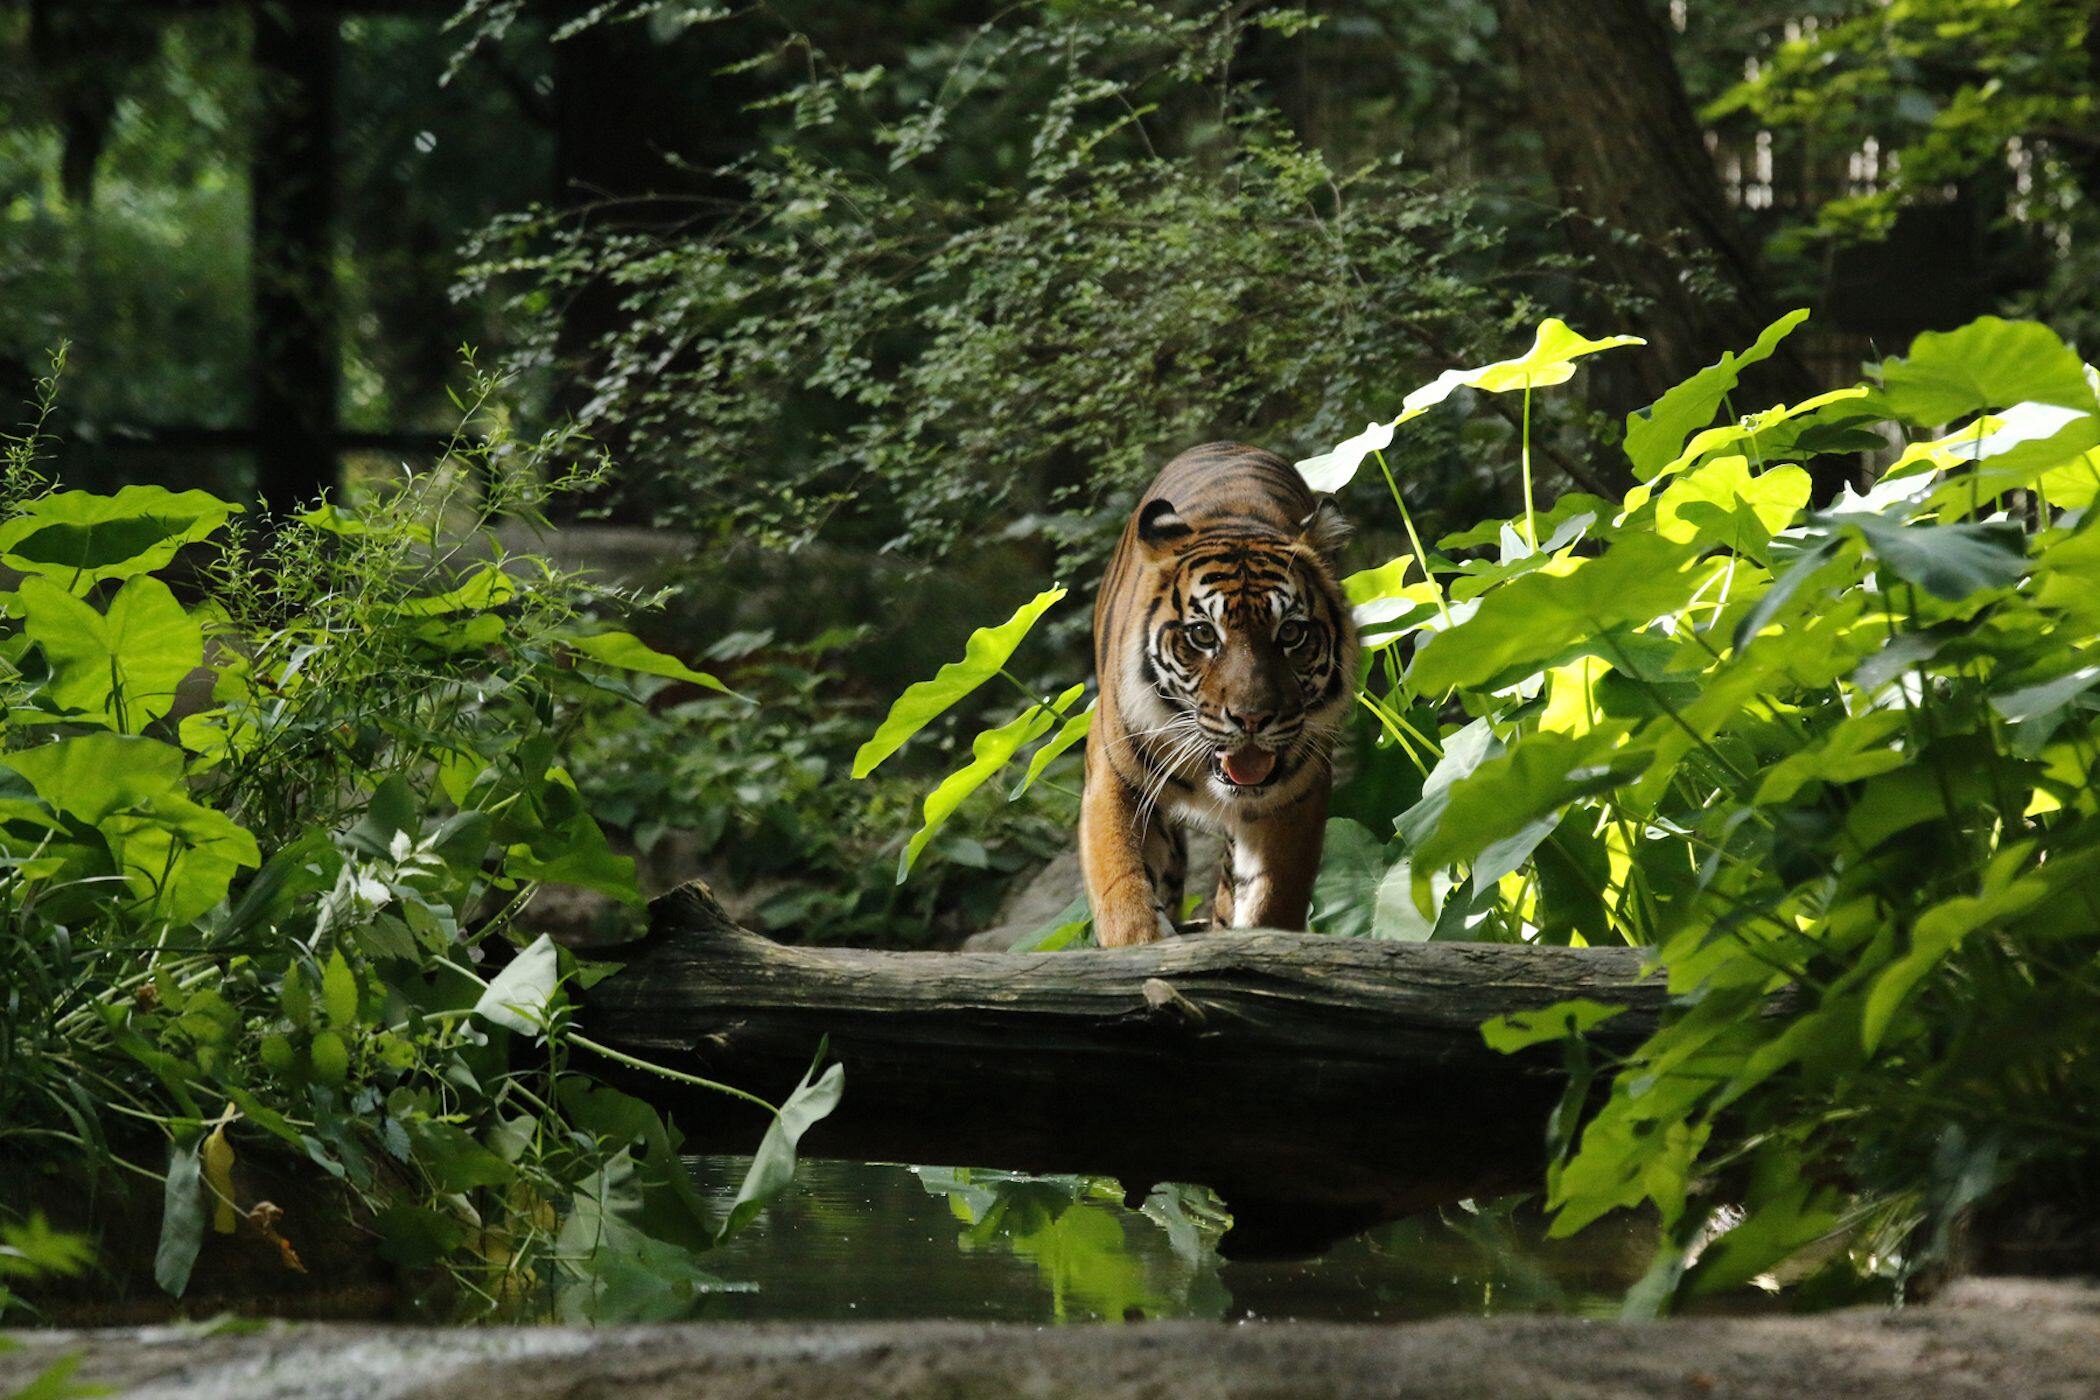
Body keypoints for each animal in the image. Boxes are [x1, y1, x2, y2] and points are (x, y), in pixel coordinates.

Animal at [1083, 442, 1360, 948]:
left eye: (1290, 633)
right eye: (1202, 635)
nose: (1251, 719)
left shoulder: (1296, 794)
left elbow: (1272, 892)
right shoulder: (1111, 775)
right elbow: (1119, 881)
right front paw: (1141, 942)